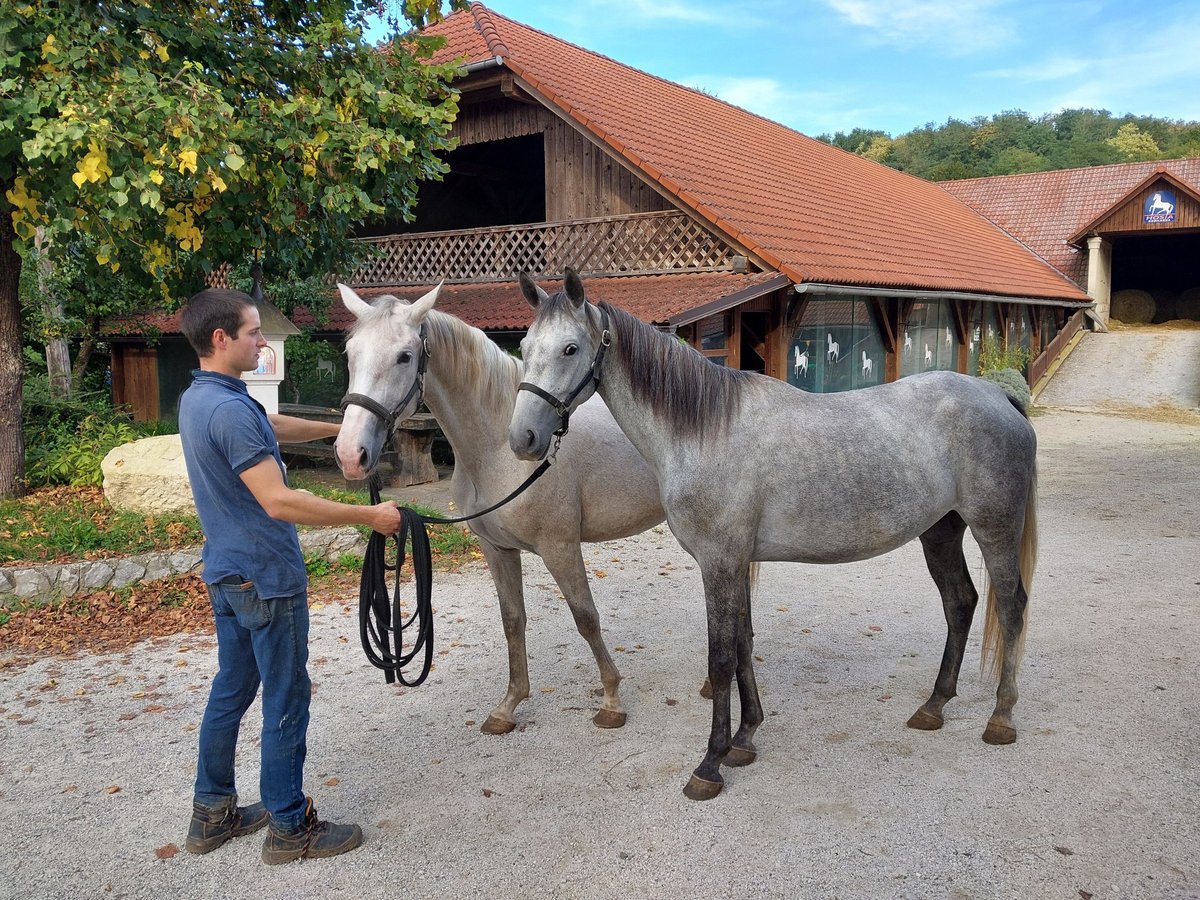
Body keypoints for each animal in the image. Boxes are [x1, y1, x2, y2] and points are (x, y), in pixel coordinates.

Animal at [333, 285, 667, 734]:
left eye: (404, 356)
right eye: (350, 353)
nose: (351, 454)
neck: (498, 449)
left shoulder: (560, 548)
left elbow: (585, 617)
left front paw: (611, 699)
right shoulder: (496, 549)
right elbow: (513, 620)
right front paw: (508, 706)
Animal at [506, 270, 1041, 801]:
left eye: (571, 348)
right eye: (526, 344)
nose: (522, 439)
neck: (703, 431)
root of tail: (998, 396)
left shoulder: (719, 562)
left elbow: (721, 657)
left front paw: (710, 763)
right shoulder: (737, 561)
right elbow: (744, 644)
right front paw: (745, 739)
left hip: (994, 529)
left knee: (1011, 606)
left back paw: (1000, 717)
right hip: (941, 533)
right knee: (961, 603)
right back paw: (934, 707)